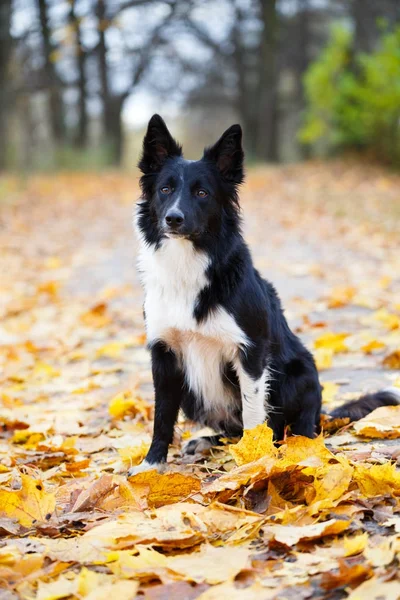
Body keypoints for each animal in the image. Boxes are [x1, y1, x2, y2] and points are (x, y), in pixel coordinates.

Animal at [128, 115, 400, 476]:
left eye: (202, 192)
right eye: (165, 189)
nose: (173, 218)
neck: (188, 263)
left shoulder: (251, 351)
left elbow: (253, 414)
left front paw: (254, 463)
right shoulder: (164, 355)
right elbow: (161, 416)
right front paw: (151, 465)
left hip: (301, 373)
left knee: (296, 429)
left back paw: (294, 447)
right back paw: (207, 441)